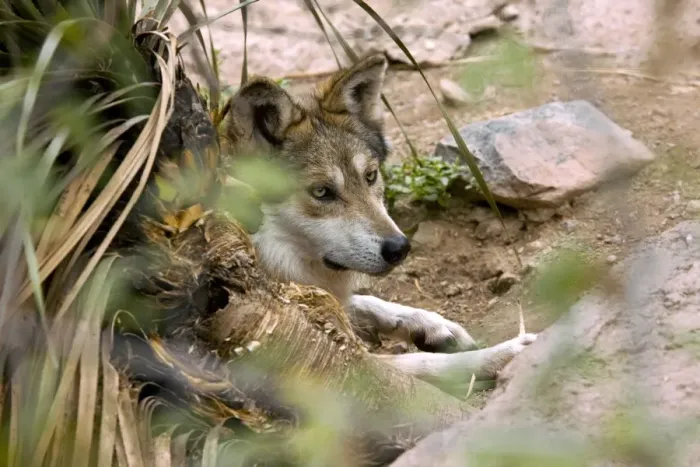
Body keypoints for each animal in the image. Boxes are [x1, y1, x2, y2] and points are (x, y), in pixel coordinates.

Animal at [221, 54, 536, 390]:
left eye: (370, 176)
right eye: (322, 192)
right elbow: (422, 364)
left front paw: (436, 325)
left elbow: (368, 301)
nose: (399, 248)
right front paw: (505, 353)